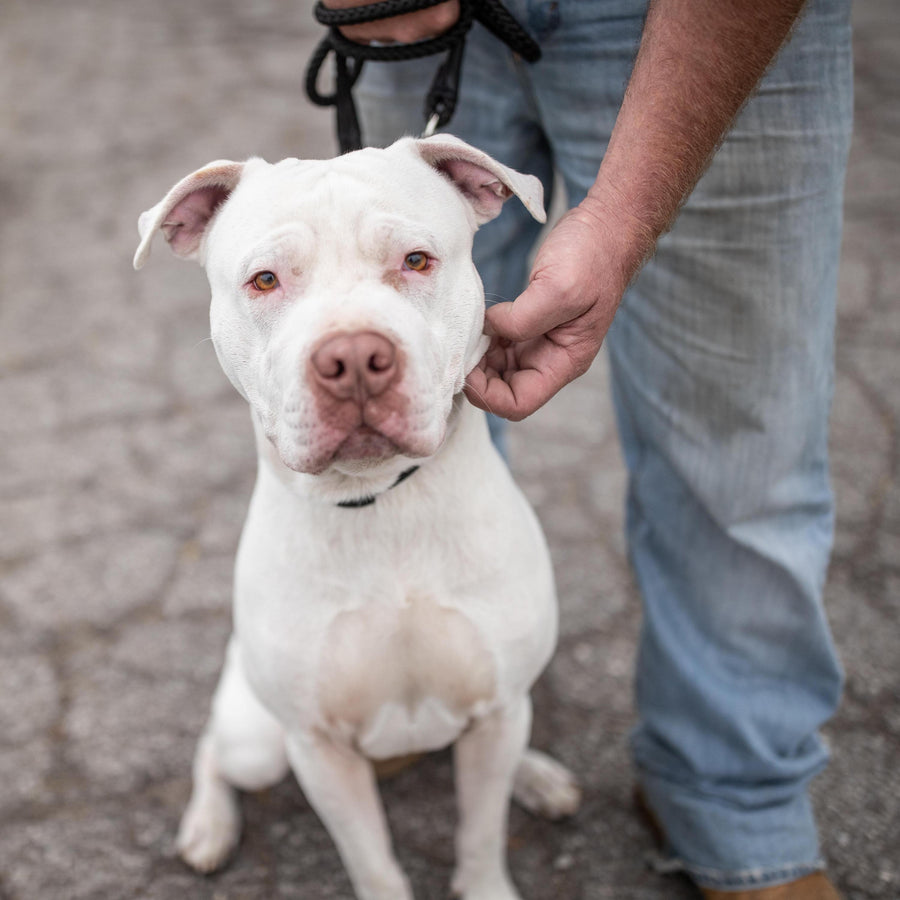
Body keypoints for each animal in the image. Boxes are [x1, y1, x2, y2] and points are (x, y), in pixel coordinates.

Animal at [137, 135, 580, 900]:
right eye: (264, 280)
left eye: (416, 261)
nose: (352, 358)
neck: (380, 500)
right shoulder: (318, 750)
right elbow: (371, 859)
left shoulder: (495, 708)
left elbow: (481, 830)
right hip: (259, 740)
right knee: (214, 750)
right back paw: (207, 826)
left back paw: (539, 777)